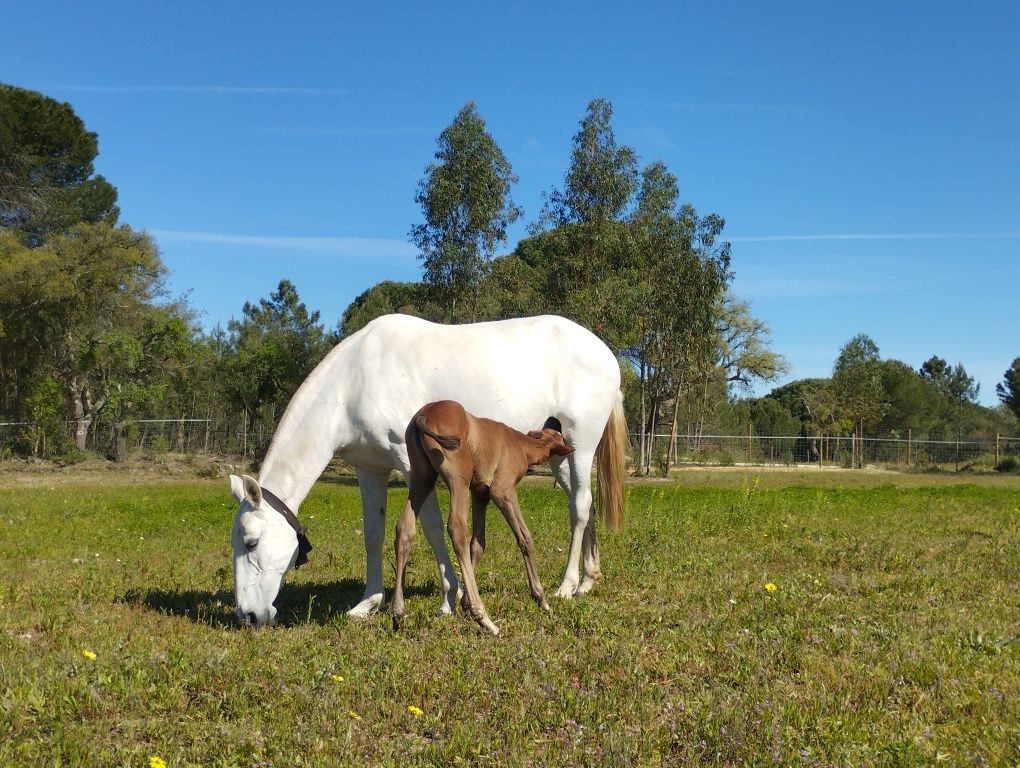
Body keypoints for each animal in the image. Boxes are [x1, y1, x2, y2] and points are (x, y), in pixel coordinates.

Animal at [391, 397, 575, 632]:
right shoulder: (502, 490)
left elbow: (478, 544)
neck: (521, 445)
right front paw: (541, 598)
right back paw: (485, 618)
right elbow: (524, 537)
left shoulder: (480, 493)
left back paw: (398, 612)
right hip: (457, 479)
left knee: (404, 527)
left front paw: (465, 603)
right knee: (457, 528)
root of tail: (423, 416)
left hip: (421, 477)